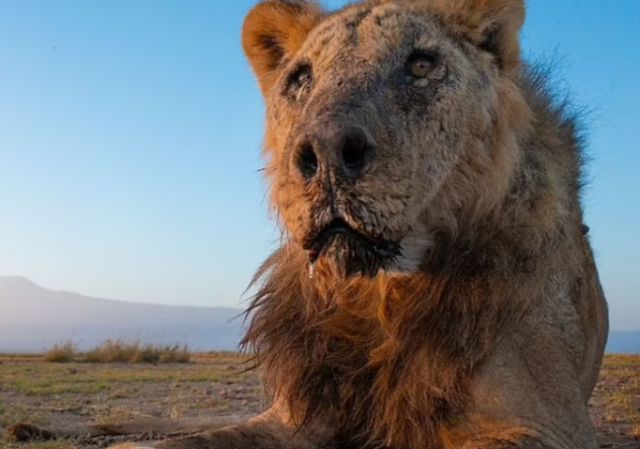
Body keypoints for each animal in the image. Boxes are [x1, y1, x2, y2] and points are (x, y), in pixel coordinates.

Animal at [5, 0, 608, 448]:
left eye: (420, 64)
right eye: (300, 78)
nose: (325, 152)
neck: (378, 295)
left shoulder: (547, 426)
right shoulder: (295, 415)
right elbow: (194, 438)